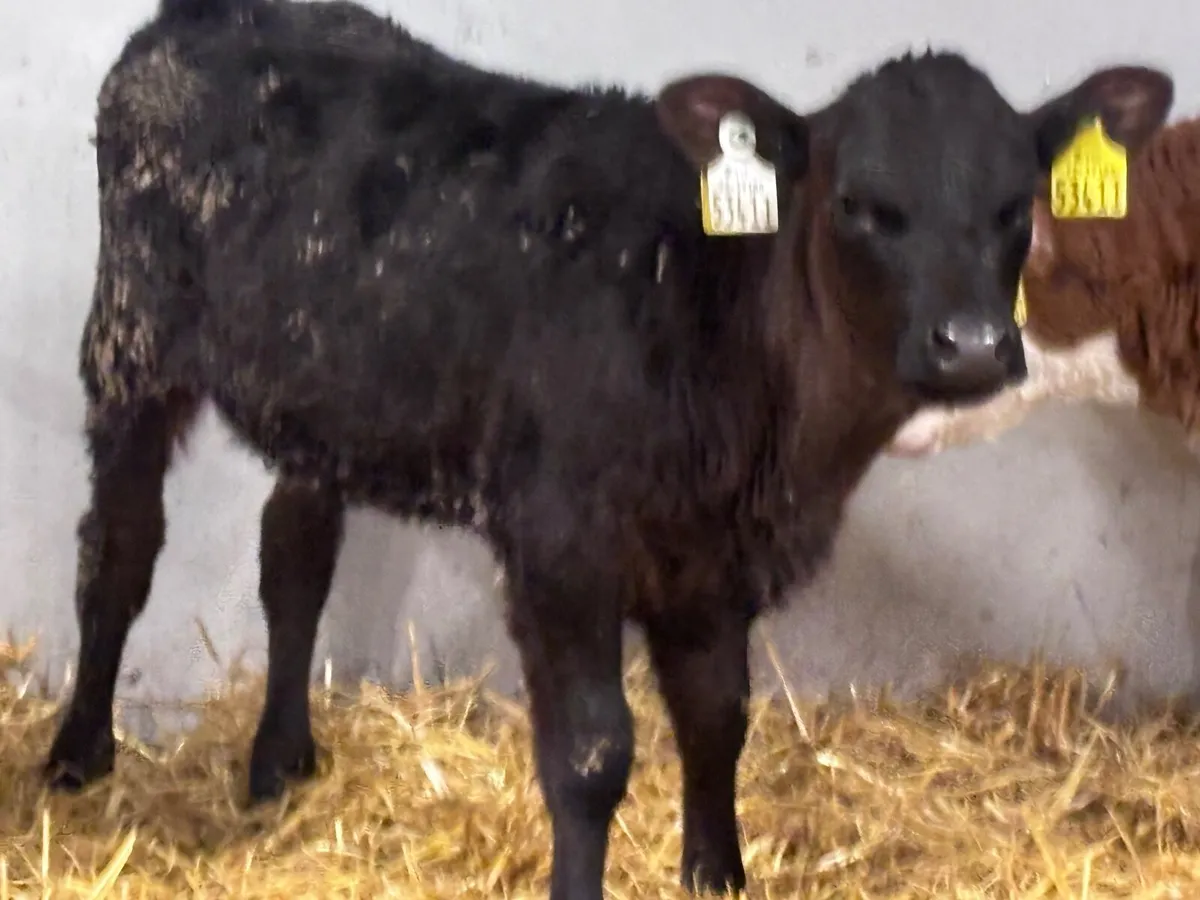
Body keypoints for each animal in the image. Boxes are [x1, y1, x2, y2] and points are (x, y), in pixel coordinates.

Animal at [45, 0, 1174, 897]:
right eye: (860, 204)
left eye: (1016, 206)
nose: (974, 344)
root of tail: (210, 13)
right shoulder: (560, 547)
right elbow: (592, 757)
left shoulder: (713, 562)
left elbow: (718, 722)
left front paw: (717, 877)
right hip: (130, 339)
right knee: (119, 550)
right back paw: (76, 755)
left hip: (322, 391)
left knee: (294, 555)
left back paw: (279, 762)